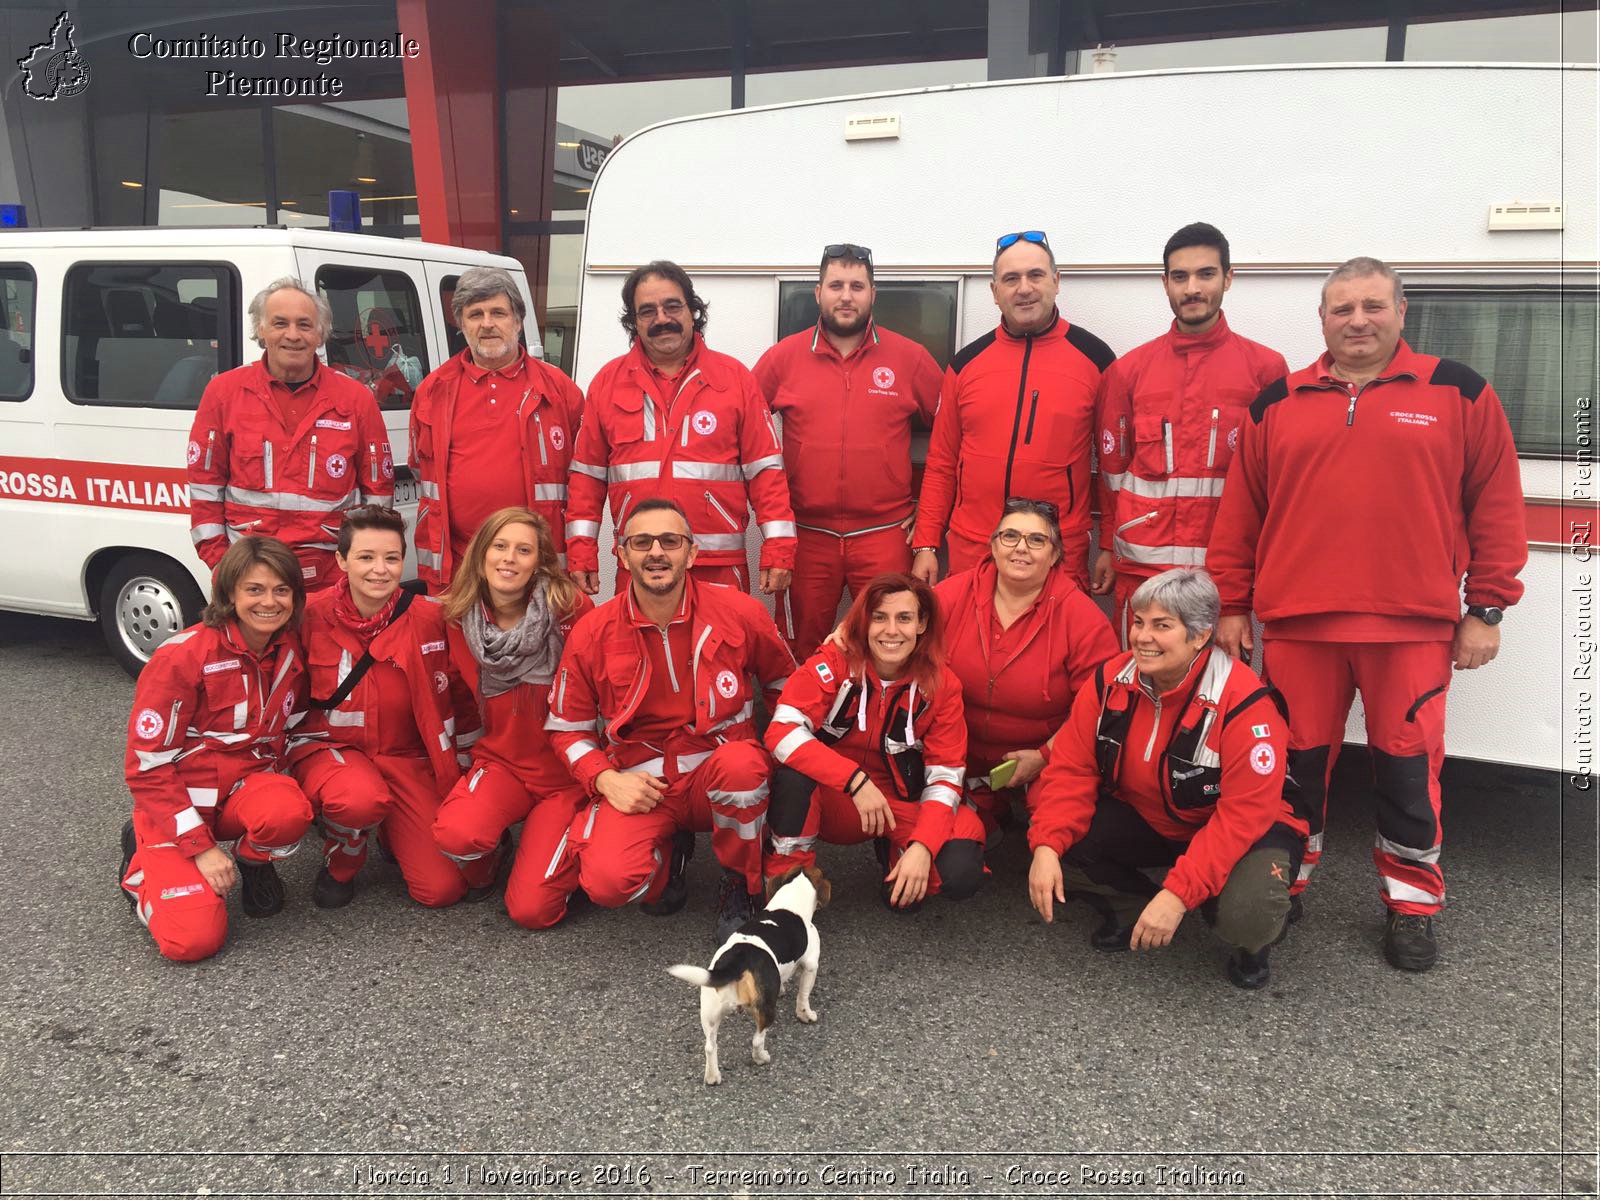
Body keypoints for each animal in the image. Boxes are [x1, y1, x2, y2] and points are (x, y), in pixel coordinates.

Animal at [665, 864, 832, 1088]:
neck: (790, 902)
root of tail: (738, 960)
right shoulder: (811, 966)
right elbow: (803, 997)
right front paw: (806, 1015)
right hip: (764, 1010)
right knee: (757, 1039)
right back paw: (762, 1058)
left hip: (709, 1011)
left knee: (710, 1046)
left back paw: (712, 1077)